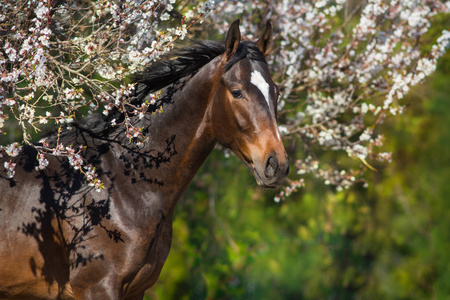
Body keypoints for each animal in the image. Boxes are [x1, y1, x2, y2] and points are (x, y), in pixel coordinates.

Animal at [0, 19, 288, 298]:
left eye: (276, 92)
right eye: (237, 92)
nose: (277, 165)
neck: (123, 184)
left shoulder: (136, 290)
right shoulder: (97, 288)